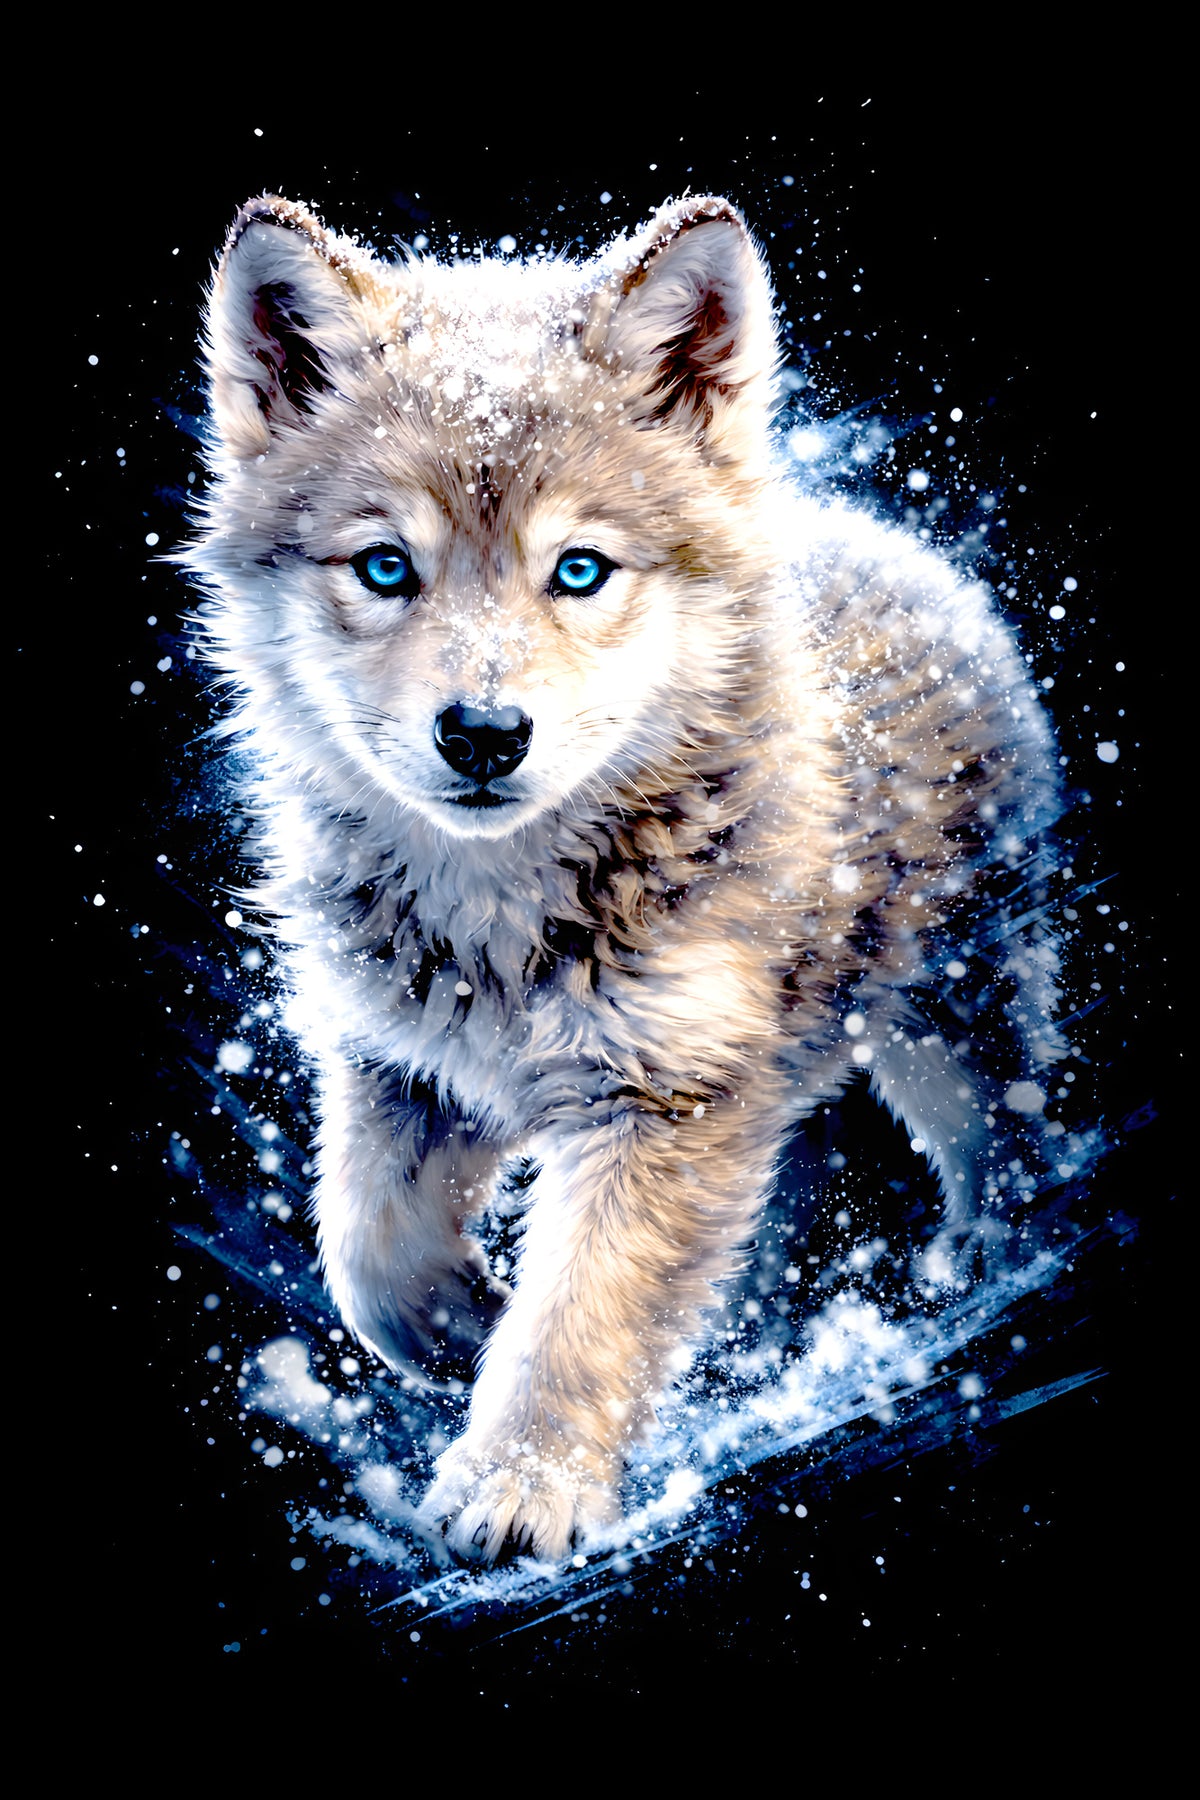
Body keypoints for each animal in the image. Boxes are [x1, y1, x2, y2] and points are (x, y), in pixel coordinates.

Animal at [189, 192, 1066, 1562]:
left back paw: (989, 1268)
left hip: (949, 1019)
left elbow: (580, 1314)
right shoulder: (395, 1060)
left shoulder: (664, 1098)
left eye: (580, 568)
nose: (483, 735)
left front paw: (520, 1485)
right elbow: (367, 1253)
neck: (500, 915)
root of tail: (886, 537)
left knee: (1008, 1134)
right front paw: (461, 1325)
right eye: (385, 567)